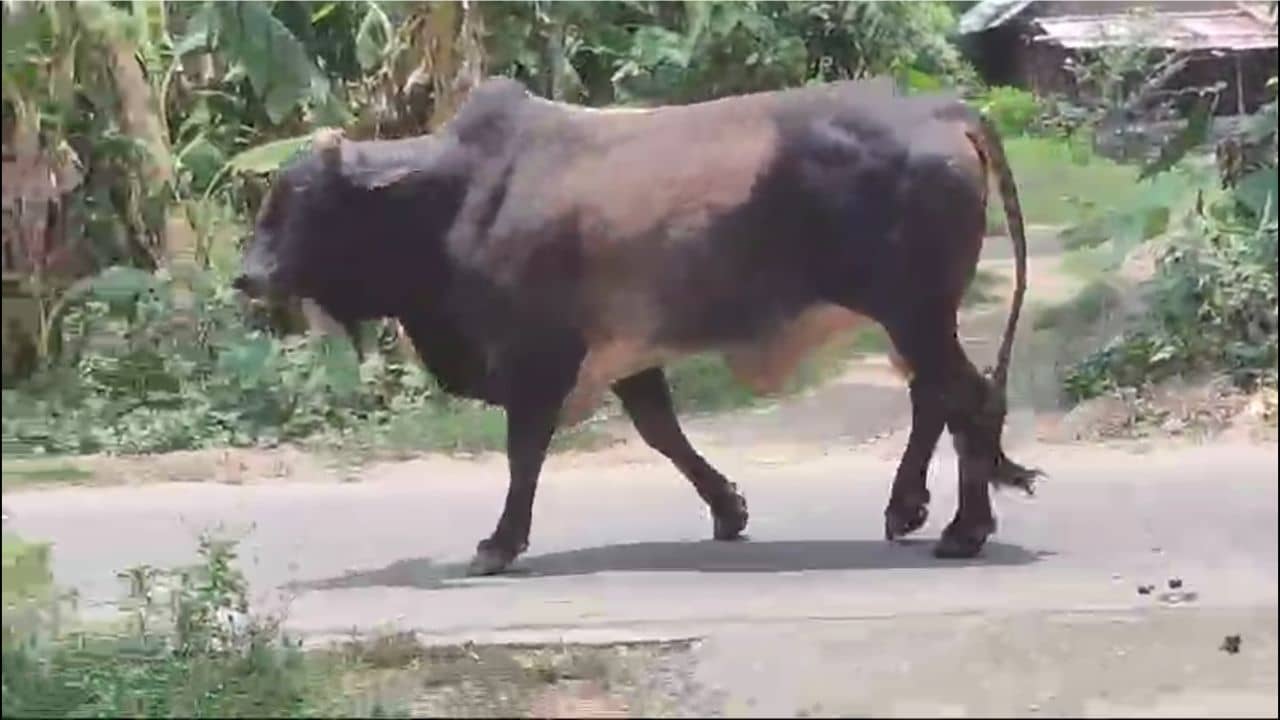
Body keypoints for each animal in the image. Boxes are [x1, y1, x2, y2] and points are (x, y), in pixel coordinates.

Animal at [235, 77, 1040, 576]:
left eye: (305, 201)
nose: (246, 276)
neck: (451, 198)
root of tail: (941, 110)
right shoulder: (625, 354)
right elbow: (663, 432)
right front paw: (729, 509)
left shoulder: (538, 359)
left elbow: (525, 452)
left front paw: (499, 544)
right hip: (916, 319)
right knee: (937, 396)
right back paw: (909, 509)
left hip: (916, 313)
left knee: (970, 399)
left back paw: (963, 531)